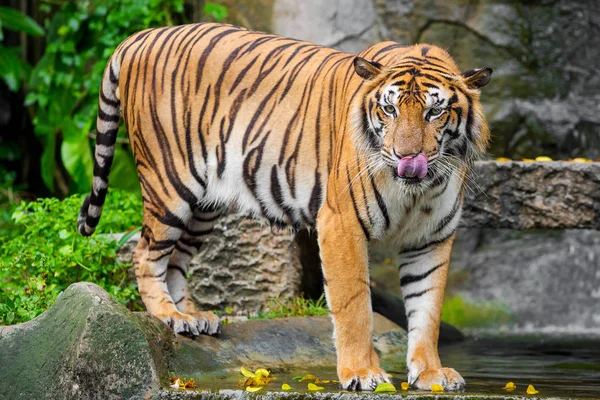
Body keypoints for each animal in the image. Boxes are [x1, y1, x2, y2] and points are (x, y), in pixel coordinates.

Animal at [78, 22, 492, 390]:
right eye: (389, 110)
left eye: (434, 112)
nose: (408, 158)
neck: (417, 190)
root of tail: (141, 36)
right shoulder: (341, 223)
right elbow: (355, 305)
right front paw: (362, 373)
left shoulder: (430, 238)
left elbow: (428, 308)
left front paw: (430, 373)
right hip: (170, 183)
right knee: (146, 253)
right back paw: (167, 315)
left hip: (203, 205)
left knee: (176, 259)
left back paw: (189, 316)